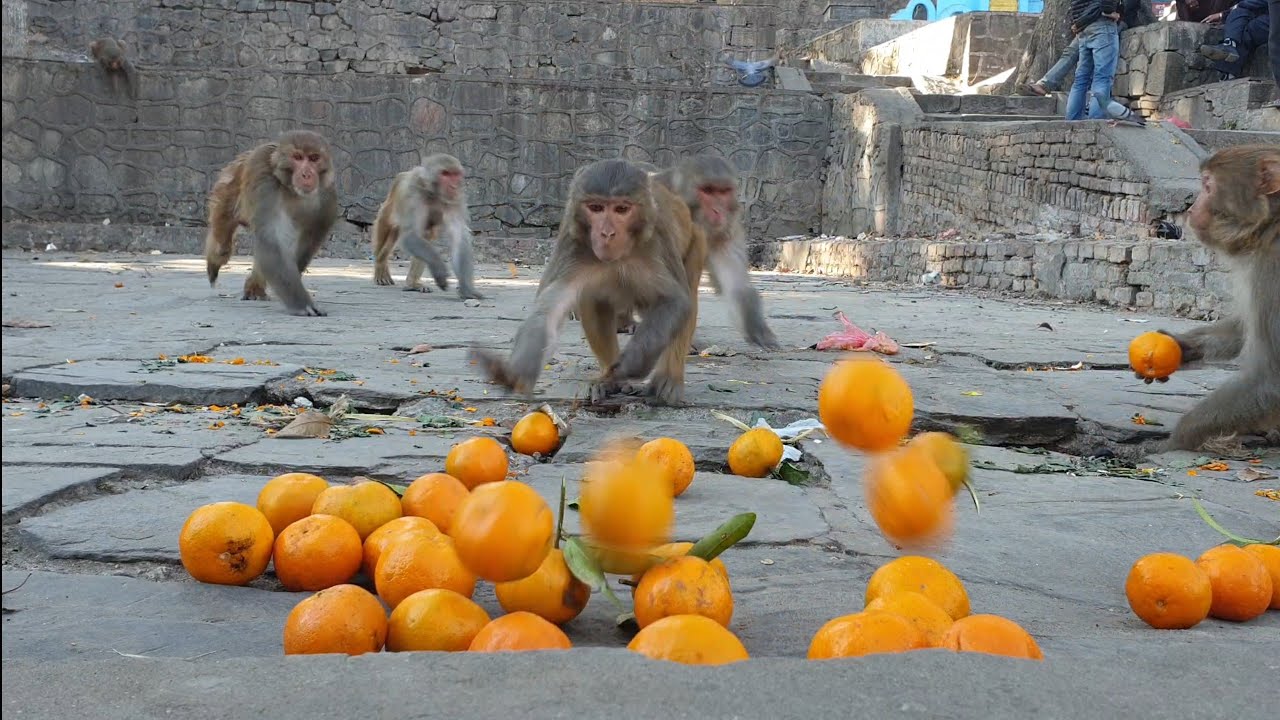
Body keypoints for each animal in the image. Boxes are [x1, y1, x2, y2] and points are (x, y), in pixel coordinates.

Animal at [204, 130, 338, 317]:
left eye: (314, 158)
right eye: (297, 157)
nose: (307, 174)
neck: (291, 189)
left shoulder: (327, 198)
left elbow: (306, 242)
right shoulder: (265, 179)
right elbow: (271, 239)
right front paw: (302, 304)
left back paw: (255, 287)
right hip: (226, 191)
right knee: (222, 244)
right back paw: (214, 261)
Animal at [370, 154, 484, 300]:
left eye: (455, 174)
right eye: (445, 174)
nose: (453, 186)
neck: (434, 193)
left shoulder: (456, 199)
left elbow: (459, 238)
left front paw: (466, 288)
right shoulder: (413, 195)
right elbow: (410, 235)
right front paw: (439, 268)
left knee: (426, 234)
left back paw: (412, 284)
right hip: (388, 209)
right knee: (385, 231)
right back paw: (380, 265)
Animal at [470, 159, 707, 406]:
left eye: (622, 209)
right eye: (596, 208)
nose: (607, 233)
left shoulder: (657, 240)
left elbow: (674, 300)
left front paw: (629, 365)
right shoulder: (572, 240)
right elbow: (549, 310)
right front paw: (516, 374)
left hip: (696, 240)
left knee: (688, 294)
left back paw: (668, 380)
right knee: (592, 297)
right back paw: (608, 380)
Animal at [1154, 144, 1280, 450]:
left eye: (1208, 185)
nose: (1190, 209)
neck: (1272, 226)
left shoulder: (1273, 267)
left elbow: (1270, 377)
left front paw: (1174, 442)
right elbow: (1244, 326)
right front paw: (1183, 345)